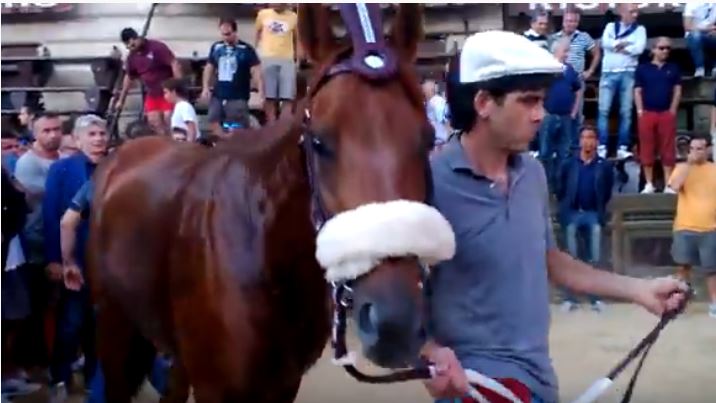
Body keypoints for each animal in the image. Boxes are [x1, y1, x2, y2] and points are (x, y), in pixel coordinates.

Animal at [88, 4, 455, 402]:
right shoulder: (215, 387)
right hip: (114, 331)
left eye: (427, 138)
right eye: (318, 141)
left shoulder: (282, 384)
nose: (393, 325)